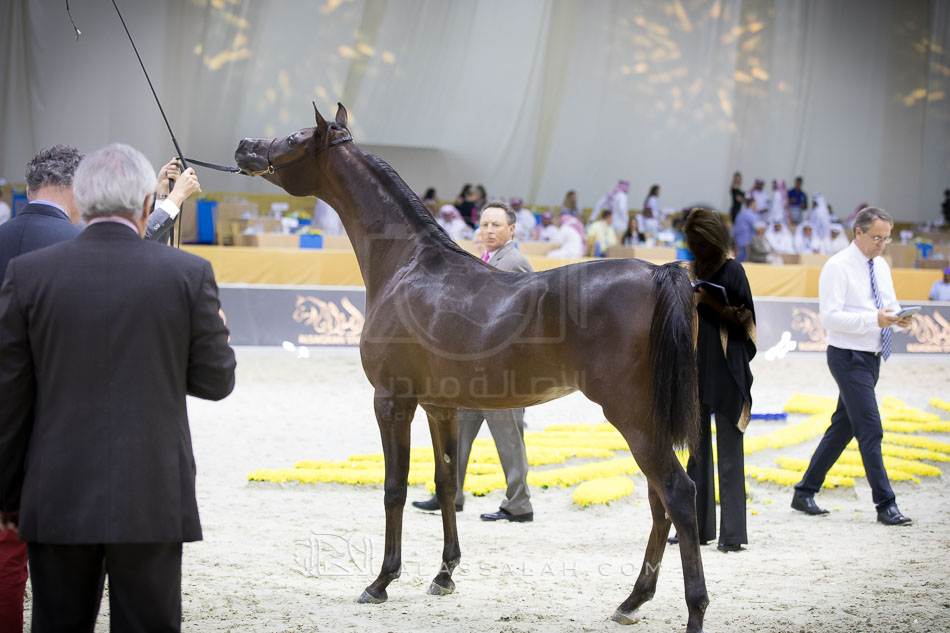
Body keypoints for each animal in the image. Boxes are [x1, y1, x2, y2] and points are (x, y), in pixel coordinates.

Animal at [234, 103, 709, 632]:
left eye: (293, 138)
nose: (244, 146)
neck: (409, 265)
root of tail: (658, 271)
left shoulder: (391, 401)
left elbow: (395, 488)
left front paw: (381, 582)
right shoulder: (440, 406)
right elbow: (445, 484)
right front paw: (444, 575)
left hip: (632, 418)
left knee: (678, 493)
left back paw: (692, 610)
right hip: (646, 422)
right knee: (658, 502)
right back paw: (632, 601)